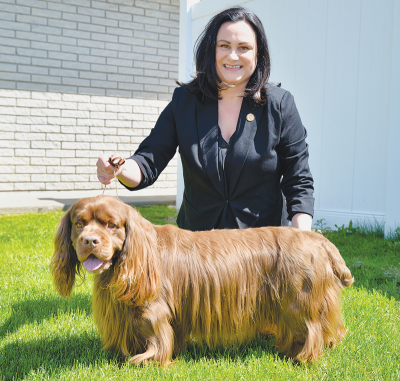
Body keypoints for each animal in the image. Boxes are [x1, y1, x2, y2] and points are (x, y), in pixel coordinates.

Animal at [50, 196, 354, 366]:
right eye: (79, 223)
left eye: (111, 225)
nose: (89, 241)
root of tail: (317, 238)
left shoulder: (152, 309)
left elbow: (156, 336)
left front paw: (149, 361)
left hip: (297, 299)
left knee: (310, 328)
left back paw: (301, 357)